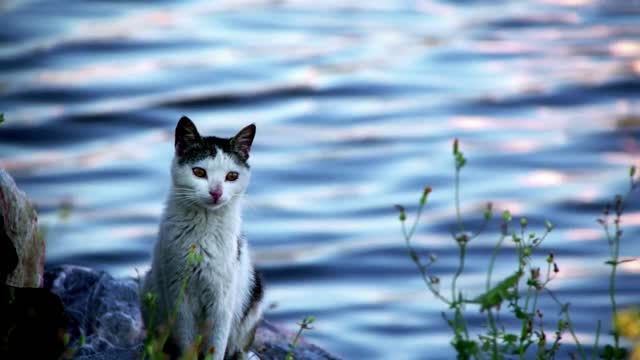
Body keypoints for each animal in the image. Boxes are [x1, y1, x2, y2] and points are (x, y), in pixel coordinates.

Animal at [144, 116, 264, 360]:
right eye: (199, 172)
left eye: (232, 176)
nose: (216, 192)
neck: (204, 228)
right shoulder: (179, 295)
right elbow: (187, 342)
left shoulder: (222, 301)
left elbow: (216, 346)